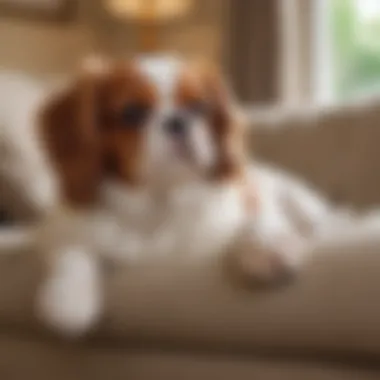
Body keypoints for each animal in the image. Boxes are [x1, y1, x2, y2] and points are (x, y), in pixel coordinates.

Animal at [34, 55, 326, 336]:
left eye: (199, 107)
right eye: (132, 113)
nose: (177, 121)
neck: (163, 199)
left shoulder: (248, 202)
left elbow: (259, 219)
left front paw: (268, 249)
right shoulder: (61, 228)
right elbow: (72, 249)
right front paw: (68, 298)